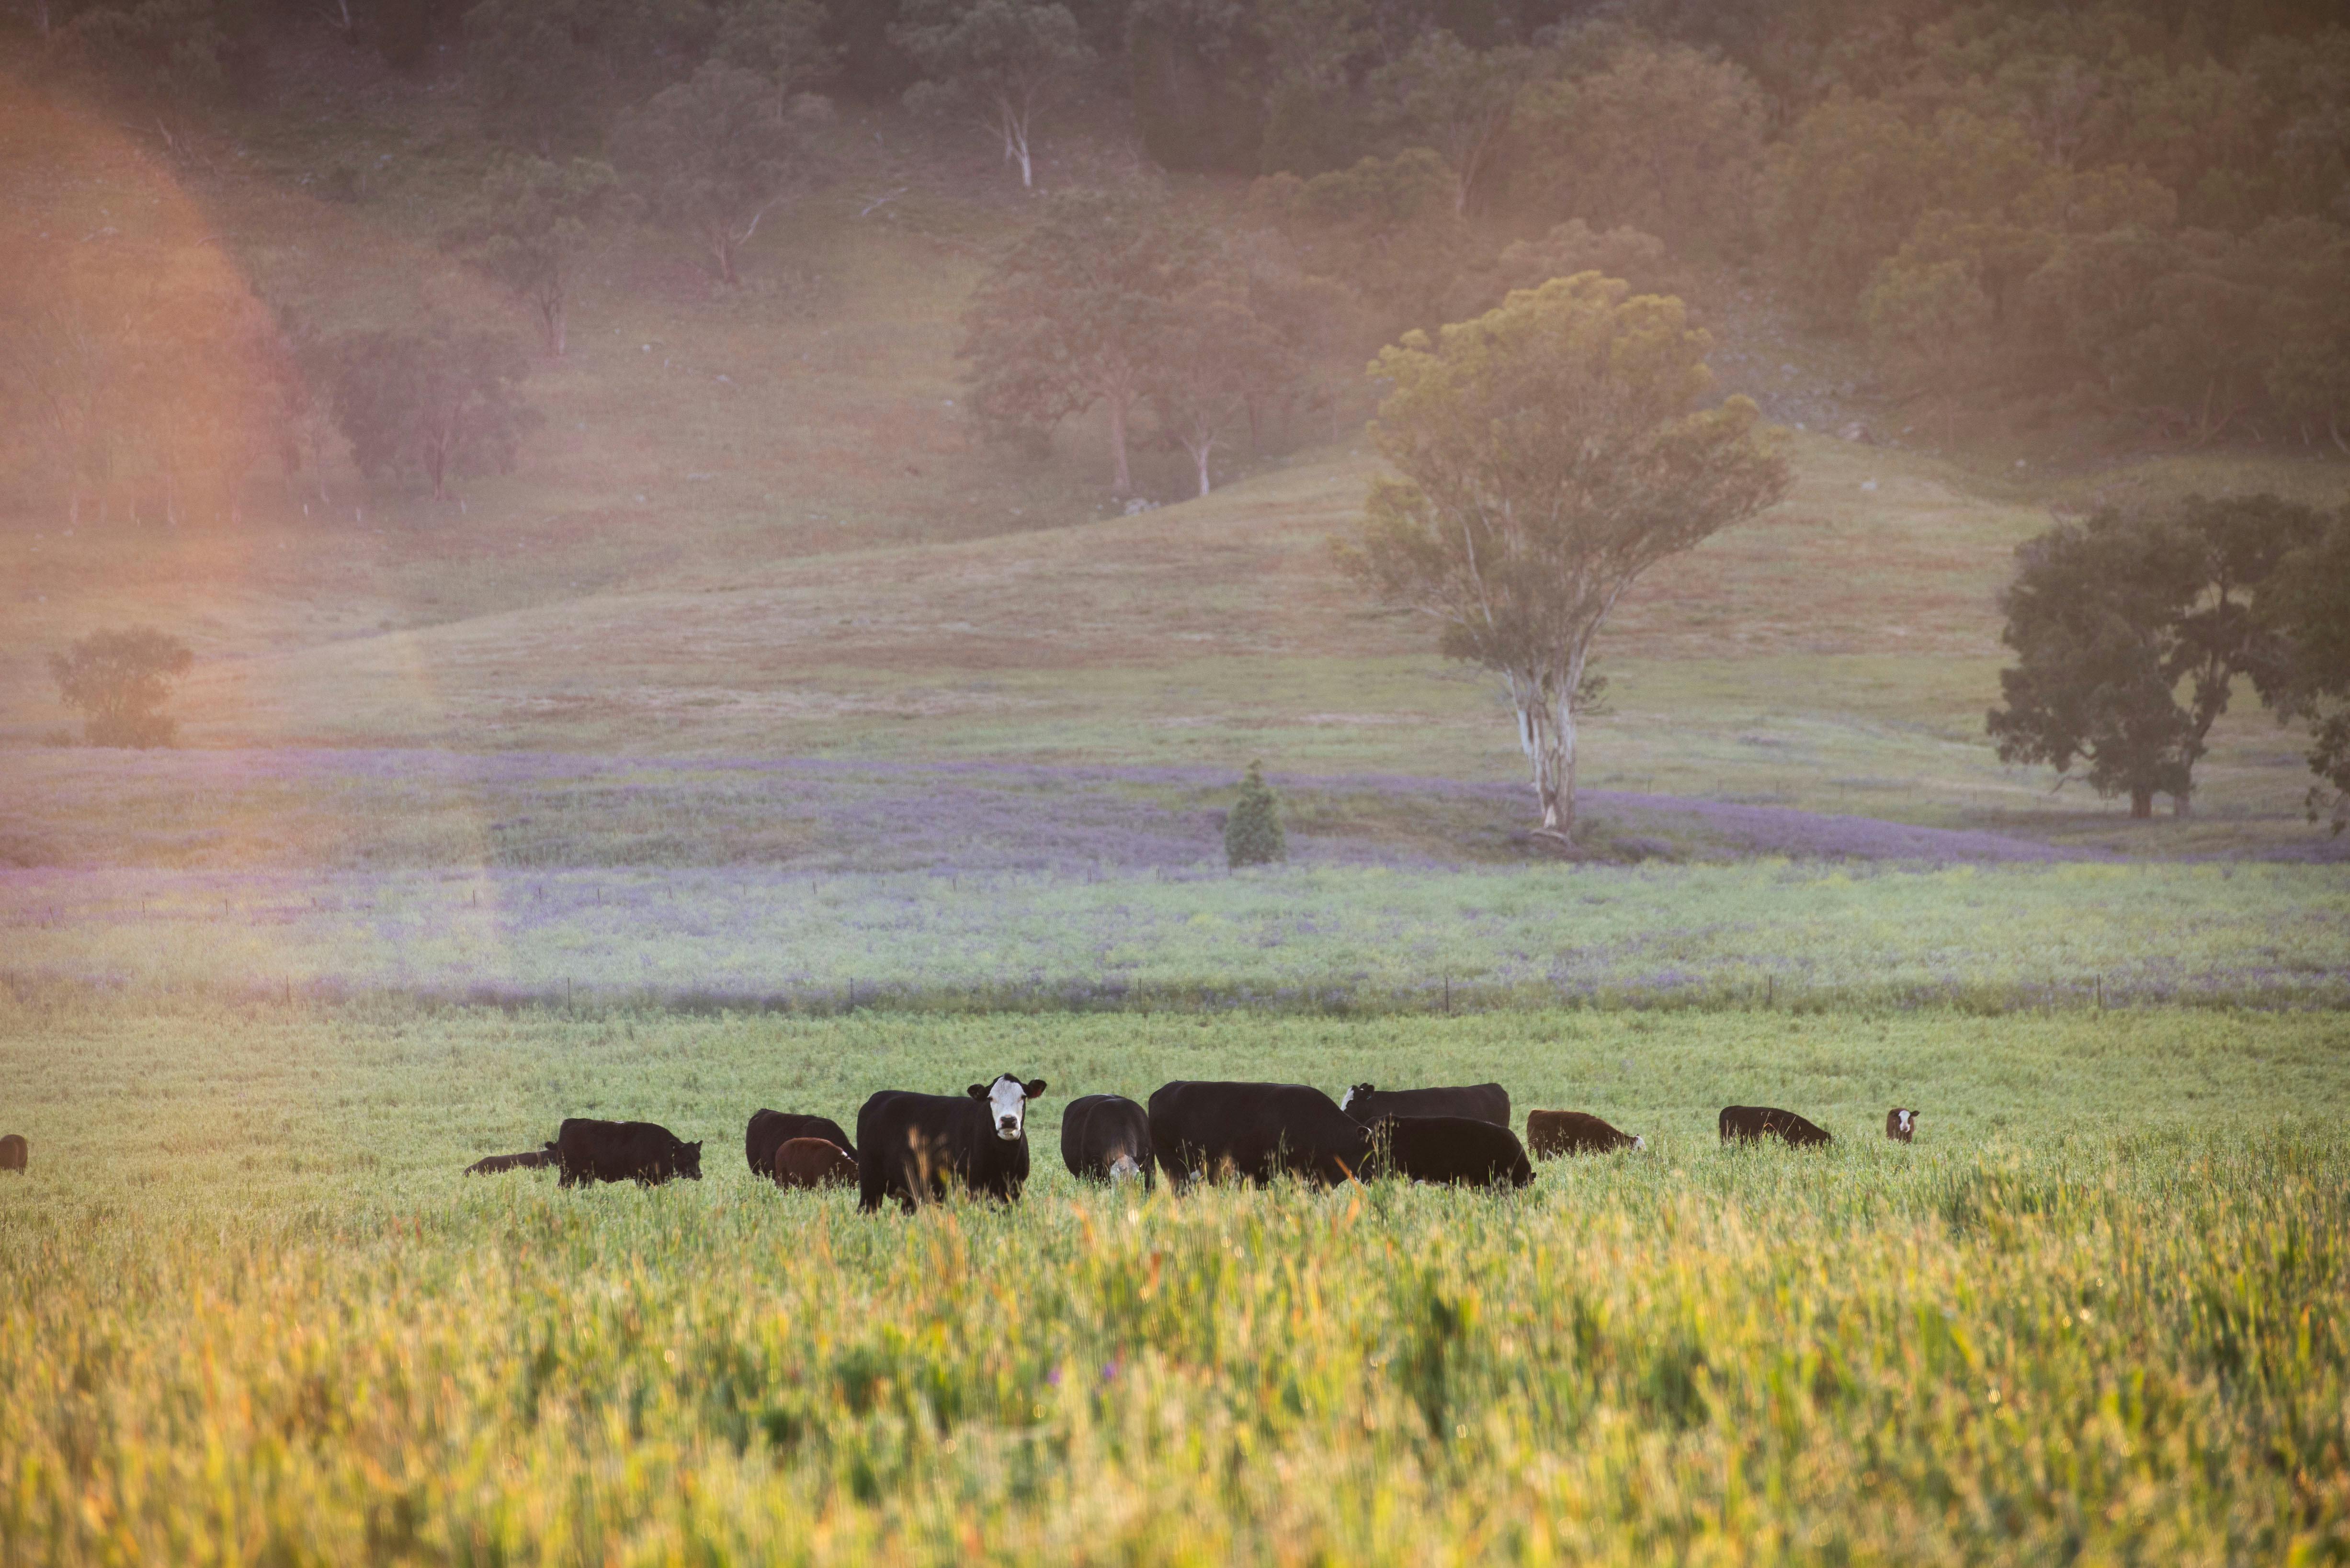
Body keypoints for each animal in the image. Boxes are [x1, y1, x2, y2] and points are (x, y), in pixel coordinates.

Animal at [551, 1118, 704, 1186]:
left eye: (698, 1157)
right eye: (687, 1158)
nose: (699, 1175)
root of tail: (569, 1122)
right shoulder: (641, 1179)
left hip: (586, 1175)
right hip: (568, 1173)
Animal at [856, 1075, 1046, 1214]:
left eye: (1023, 1096)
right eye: (991, 1098)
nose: (1008, 1121)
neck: (1004, 1160)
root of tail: (877, 1098)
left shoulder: (1014, 1190)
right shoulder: (974, 1189)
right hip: (870, 1183)